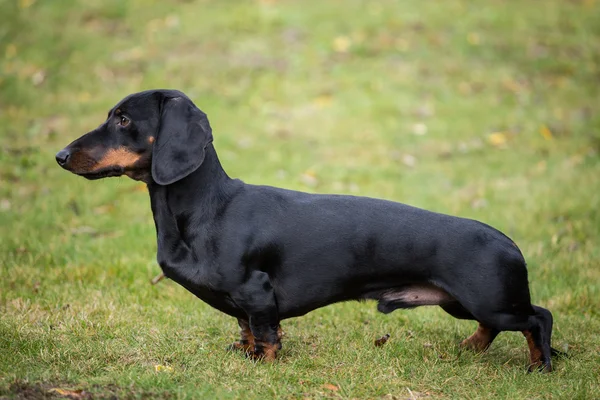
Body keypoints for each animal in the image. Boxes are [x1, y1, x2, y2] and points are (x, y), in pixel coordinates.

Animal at [56, 89, 556, 370]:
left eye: (123, 119)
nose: (59, 155)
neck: (207, 208)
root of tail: (507, 240)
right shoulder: (243, 303)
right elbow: (245, 327)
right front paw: (245, 352)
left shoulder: (256, 292)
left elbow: (266, 332)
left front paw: (264, 364)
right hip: (465, 304)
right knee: (497, 327)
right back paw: (471, 348)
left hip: (490, 301)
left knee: (539, 318)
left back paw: (540, 366)